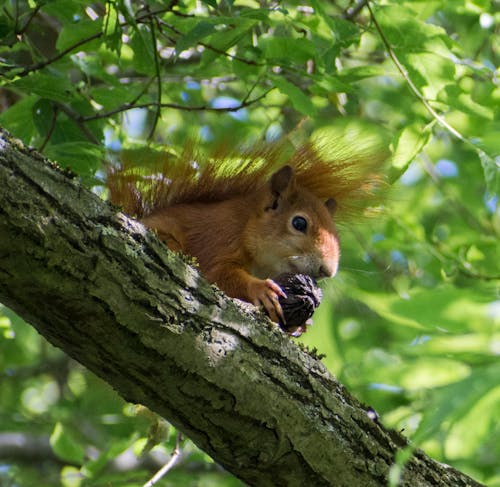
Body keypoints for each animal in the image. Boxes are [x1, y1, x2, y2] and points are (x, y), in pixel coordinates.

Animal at [108, 140, 382, 324]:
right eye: (299, 223)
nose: (328, 271)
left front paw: (301, 326)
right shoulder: (219, 237)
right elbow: (217, 273)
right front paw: (260, 289)